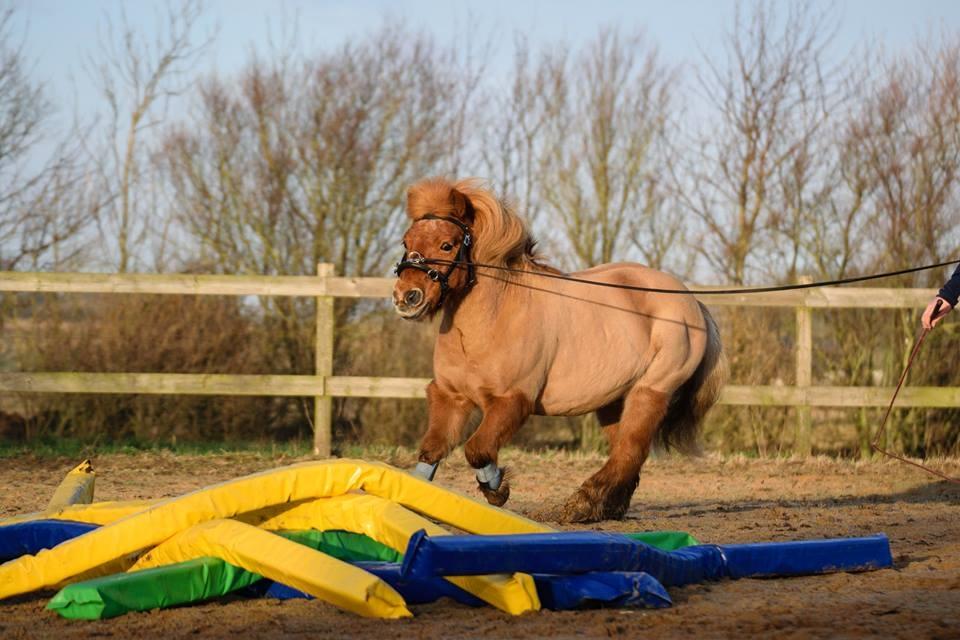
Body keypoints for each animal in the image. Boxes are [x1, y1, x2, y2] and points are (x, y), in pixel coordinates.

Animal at [394, 178, 724, 524]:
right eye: (407, 241)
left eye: (447, 245)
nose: (406, 298)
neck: (492, 318)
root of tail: (693, 303)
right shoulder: (450, 397)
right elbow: (432, 450)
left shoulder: (512, 401)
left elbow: (478, 450)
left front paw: (497, 489)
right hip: (614, 402)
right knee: (625, 453)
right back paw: (602, 508)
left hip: (651, 391)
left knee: (630, 450)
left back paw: (581, 505)